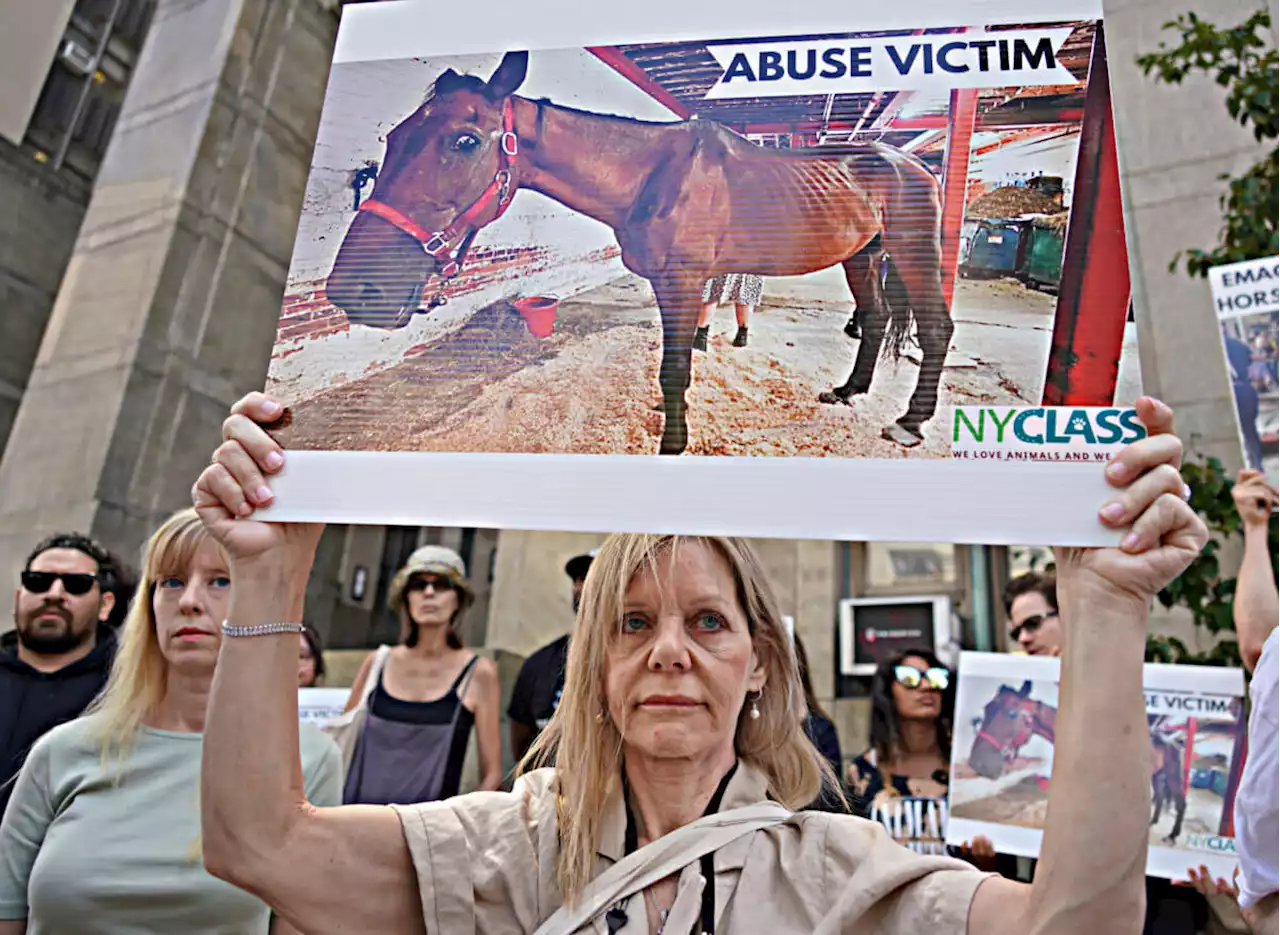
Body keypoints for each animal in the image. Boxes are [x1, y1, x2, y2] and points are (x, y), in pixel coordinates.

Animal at [325, 49, 957, 450]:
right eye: (393, 137)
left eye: (464, 140)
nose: (355, 291)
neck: (654, 174)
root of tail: (913, 164)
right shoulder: (666, 285)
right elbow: (673, 368)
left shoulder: (682, 282)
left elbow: (675, 369)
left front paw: (674, 443)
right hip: (864, 256)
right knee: (875, 317)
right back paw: (848, 392)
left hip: (913, 252)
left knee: (935, 328)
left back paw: (909, 421)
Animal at [967, 681, 1187, 840]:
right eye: (986, 708)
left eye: (1011, 713)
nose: (978, 763)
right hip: (1157, 774)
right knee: (1160, 796)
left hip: (1172, 773)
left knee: (1179, 802)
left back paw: (1173, 835)